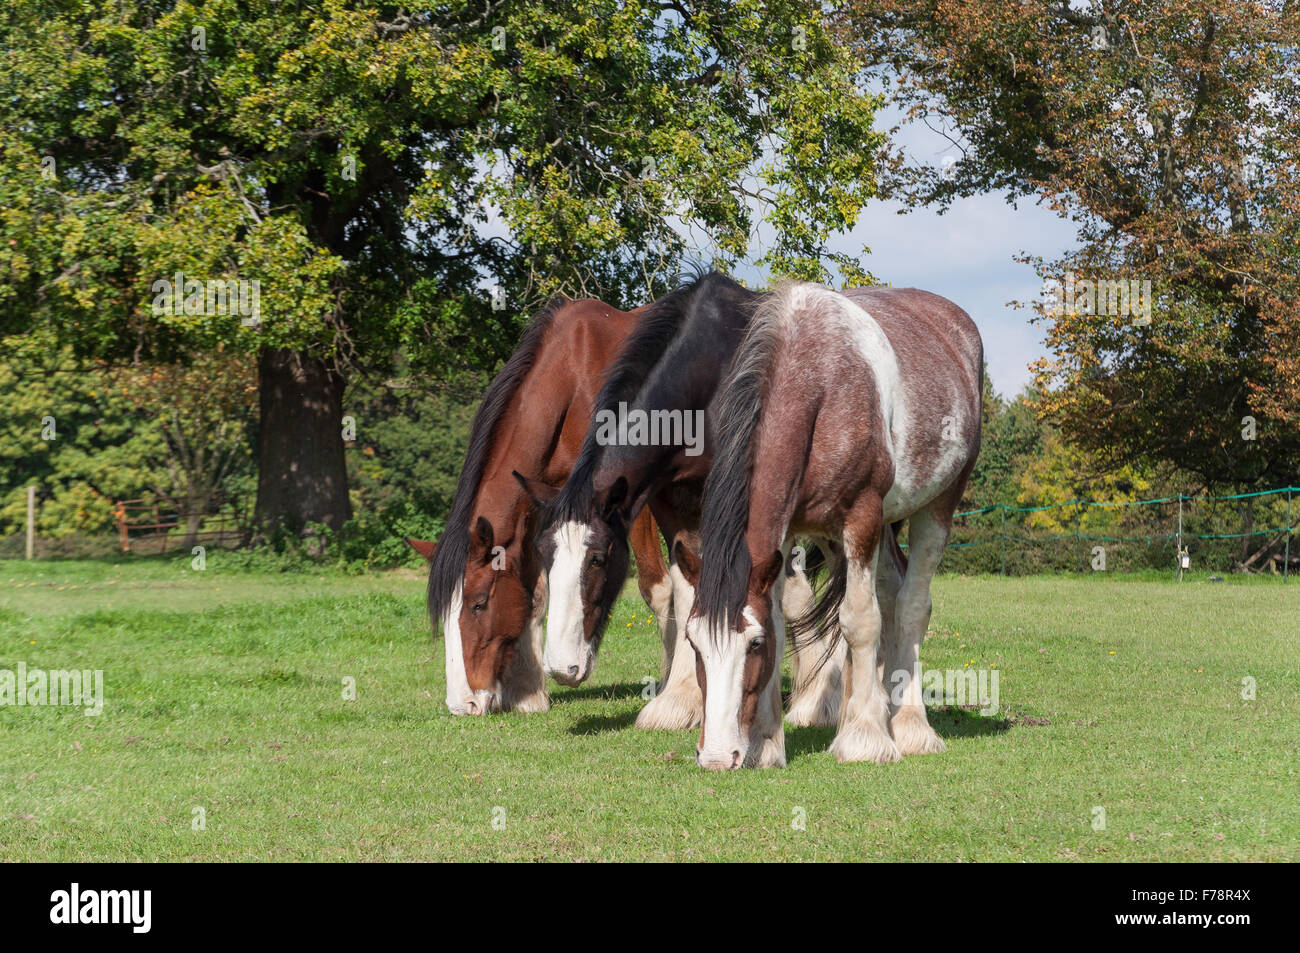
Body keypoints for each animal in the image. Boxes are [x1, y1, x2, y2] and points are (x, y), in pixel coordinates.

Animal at [424, 298, 674, 716]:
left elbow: (658, 589)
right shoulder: (542, 503)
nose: (462, 704)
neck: (573, 378)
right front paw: (529, 693)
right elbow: (536, 594)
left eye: (478, 604)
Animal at [524, 271, 850, 731]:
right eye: (544, 555)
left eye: (599, 559)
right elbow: (686, 583)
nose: (561, 668)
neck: (703, 379)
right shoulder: (667, 501)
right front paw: (680, 700)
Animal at [680, 281, 982, 769]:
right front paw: (767, 743)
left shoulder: (863, 516)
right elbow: (785, 619)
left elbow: (859, 621)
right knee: (892, 595)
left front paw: (865, 738)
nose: (717, 756)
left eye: (753, 645)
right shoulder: (783, 538)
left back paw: (909, 726)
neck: (819, 382)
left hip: (935, 507)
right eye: (694, 644)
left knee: (912, 606)